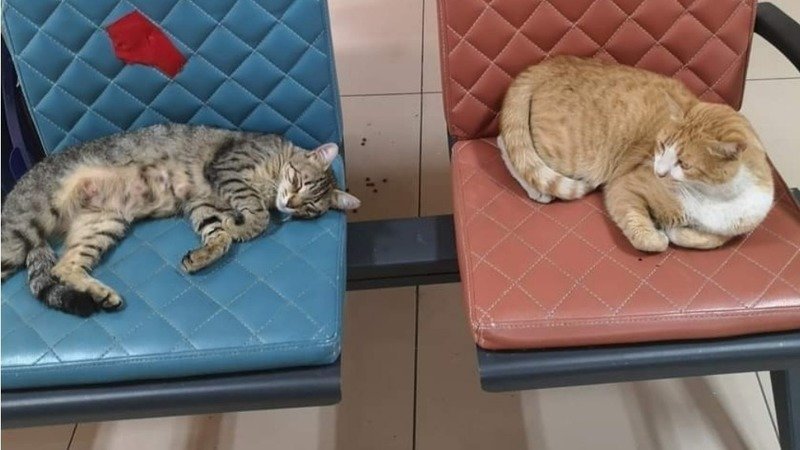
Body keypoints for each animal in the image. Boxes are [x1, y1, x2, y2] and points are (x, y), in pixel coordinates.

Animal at [1, 124, 360, 316]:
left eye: (309, 208)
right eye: (299, 182)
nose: (290, 204)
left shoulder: (203, 202)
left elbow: (219, 236)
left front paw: (206, 252)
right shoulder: (228, 170)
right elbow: (254, 212)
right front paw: (245, 224)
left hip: (101, 226)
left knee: (65, 267)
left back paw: (102, 295)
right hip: (23, 231)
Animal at [499, 55, 774, 253]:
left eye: (684, 164)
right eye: (661, 146)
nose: (659, 172)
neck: (714, 197)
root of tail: (552, 63)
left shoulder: (732, 229)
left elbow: (706, 239)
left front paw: (675, 229)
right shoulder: (625, 187)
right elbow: (646, 237)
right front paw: (660, 234)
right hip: (571, 155)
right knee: (508, 145)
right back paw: (537, 190)